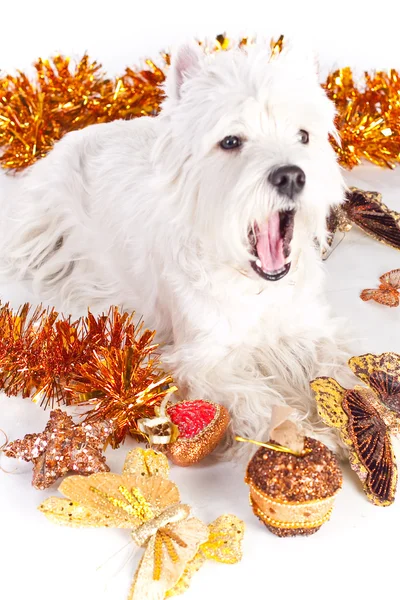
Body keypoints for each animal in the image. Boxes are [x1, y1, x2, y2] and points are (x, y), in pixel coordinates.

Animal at [0, 41, 346, 454]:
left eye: (303, 135)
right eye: (231, 141)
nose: (291, 175)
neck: (254, 287)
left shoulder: (310, 329)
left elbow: (339, 374)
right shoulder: (203, 358)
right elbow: (255, 398)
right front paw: (303, 438)